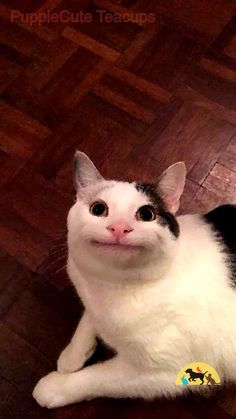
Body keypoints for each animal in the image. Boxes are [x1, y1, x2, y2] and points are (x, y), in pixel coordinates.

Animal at [32, 152, 236, 410]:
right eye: (98, 209)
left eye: (147, 214)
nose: (119, 227)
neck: (115, 285)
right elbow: (88, 319)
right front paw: (72, 355)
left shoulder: (164, 372)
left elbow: (96, 378)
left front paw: (55, 387)